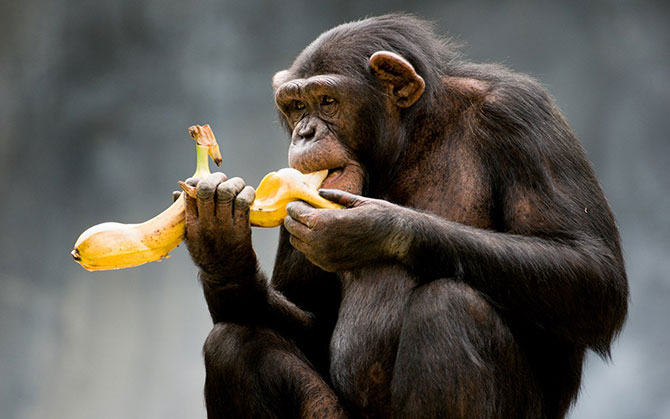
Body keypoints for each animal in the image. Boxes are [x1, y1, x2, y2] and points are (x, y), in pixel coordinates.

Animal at [182, 13, 632, 419]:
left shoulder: (519, 115)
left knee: (448, 308)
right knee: (232, 346)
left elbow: (589, 266)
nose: (305, 132)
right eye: (295, 106)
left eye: (327, 101)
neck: (411, 136)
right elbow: (312, 315)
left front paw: (372, 230)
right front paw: (221, 243)